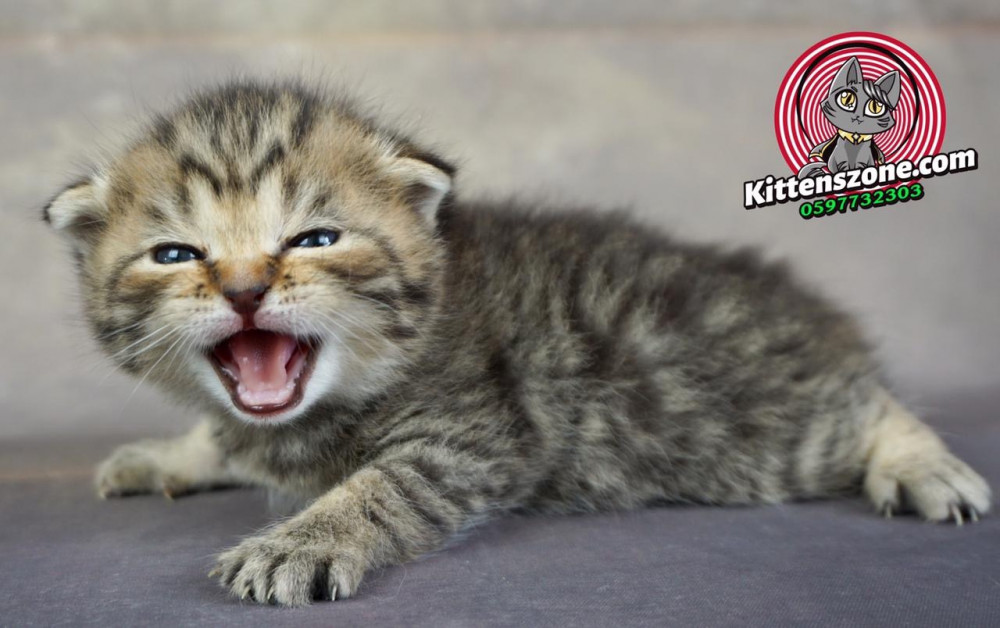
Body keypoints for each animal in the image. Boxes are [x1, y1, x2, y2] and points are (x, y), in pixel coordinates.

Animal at [44, 81, 989, 606]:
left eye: (315, 239)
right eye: (175, 255)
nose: (243, 289)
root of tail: (809, 309)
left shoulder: (480, 431)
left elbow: (385, 487)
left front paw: (302, 541)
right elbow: (226, 436)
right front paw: (169, 453)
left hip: (763, 433)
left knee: (871, 405)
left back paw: (924, 464)